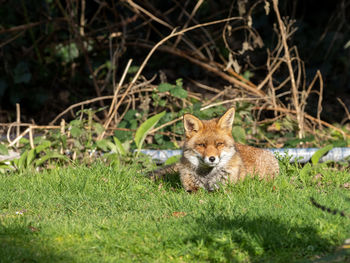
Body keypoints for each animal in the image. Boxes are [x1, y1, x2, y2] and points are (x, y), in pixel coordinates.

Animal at [149, 108, 280, 194]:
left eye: (219, 144)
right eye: (202, 145)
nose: (212, 158)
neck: (207, 178)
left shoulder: (225, 188)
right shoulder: (190, 187)